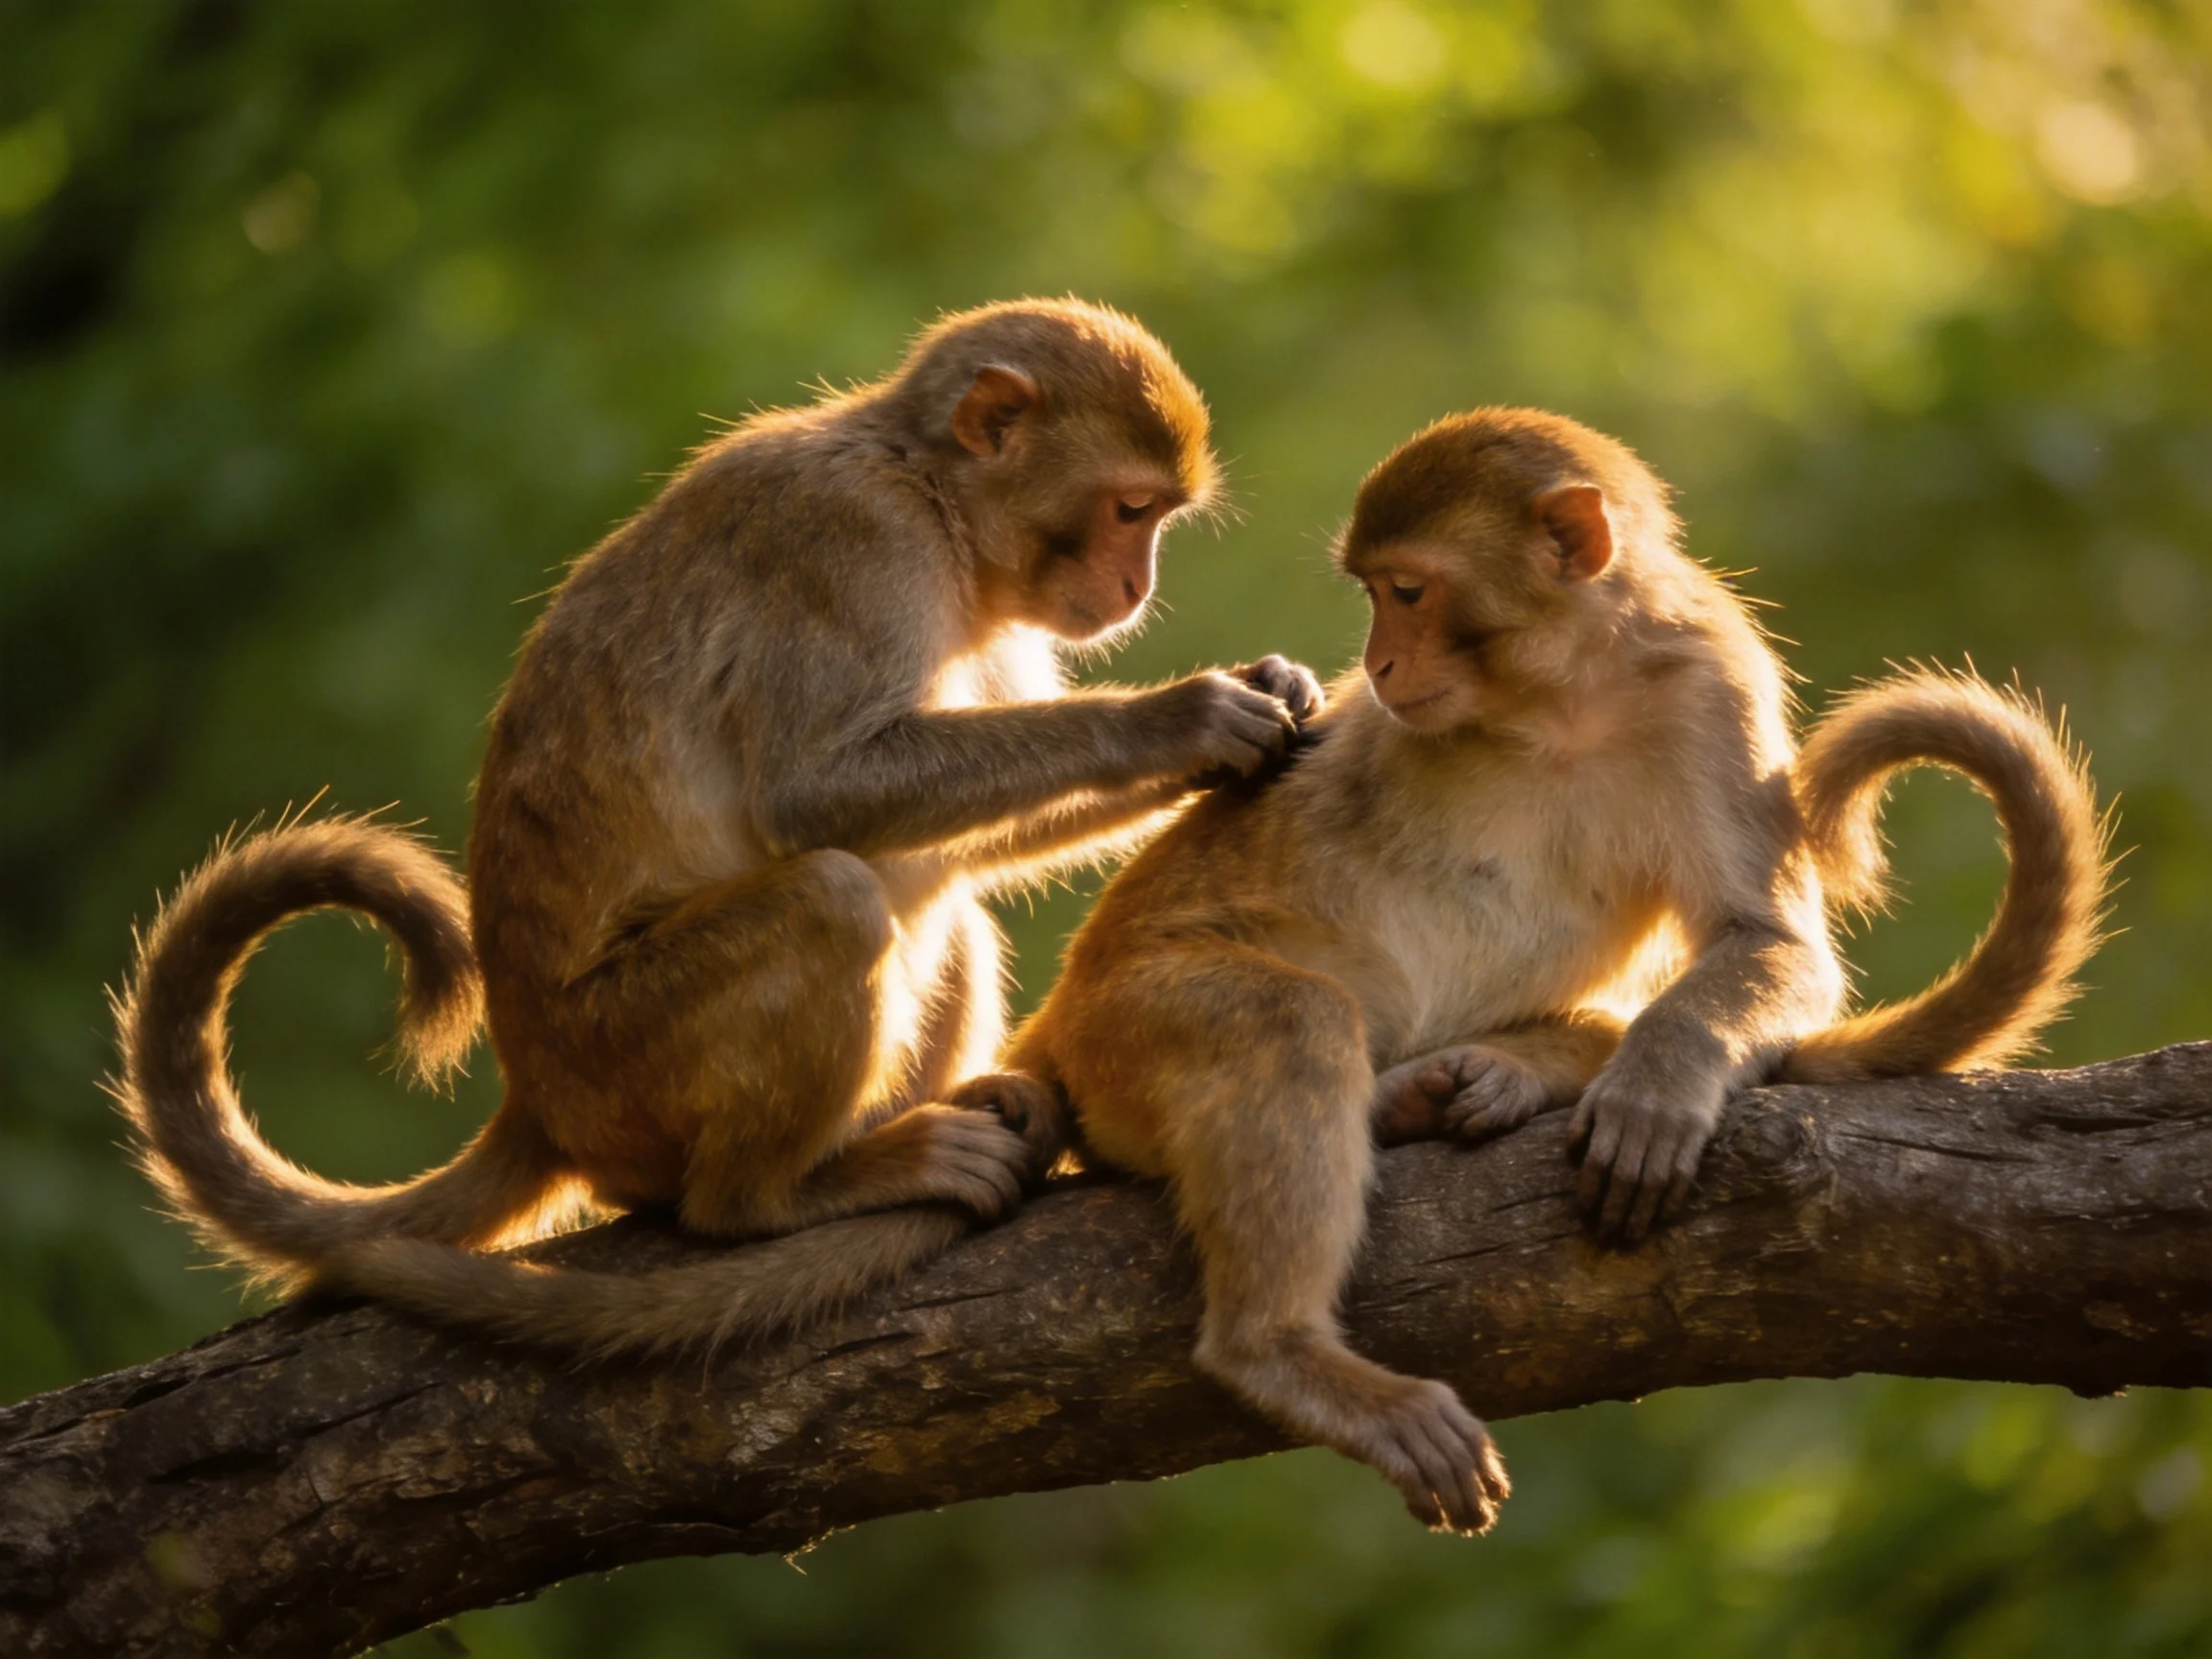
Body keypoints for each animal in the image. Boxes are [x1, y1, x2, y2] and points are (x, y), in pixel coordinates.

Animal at [113, 298, 1328, 1359]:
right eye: (1130, 510)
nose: (1135, 585)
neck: (928, 492)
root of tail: (537, 1097)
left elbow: (956, 844)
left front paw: (1266, 699)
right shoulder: (851, 544)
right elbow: (816, 794)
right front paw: (1183, 718)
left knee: (943, 907)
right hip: (627, 1062)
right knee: (832, 898)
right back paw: (778, 1195)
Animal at [1001, 406, 2107, 1533]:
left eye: (1407, 592)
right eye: (1376, 595)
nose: (1378, 664)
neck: (1559, 690)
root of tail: (1059, 1011)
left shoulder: (1710, 681)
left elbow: (1765, 939)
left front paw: (1657, 1083)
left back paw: (1469, 1081)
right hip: (1122, 1026)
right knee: (1287, 1024)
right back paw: (1281, 1349)